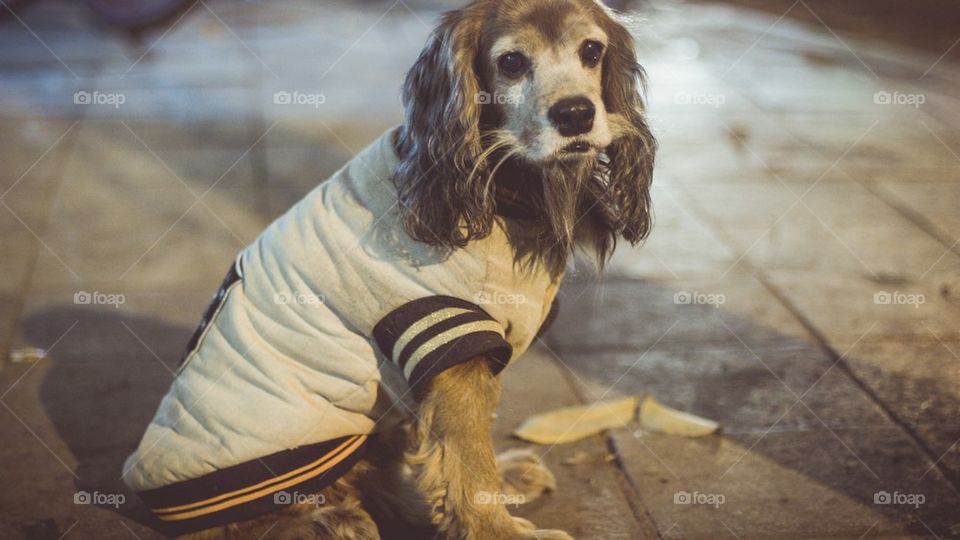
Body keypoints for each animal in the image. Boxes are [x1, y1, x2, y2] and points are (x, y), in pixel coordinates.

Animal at [124, 1, 656, 540]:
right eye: (511, 62)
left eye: (591, 51)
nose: (575, 113)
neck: (495, 187)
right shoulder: (445, 336)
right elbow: (467, 457)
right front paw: (495, 528)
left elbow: (457, 453)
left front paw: (493, 490)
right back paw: (331, 520)